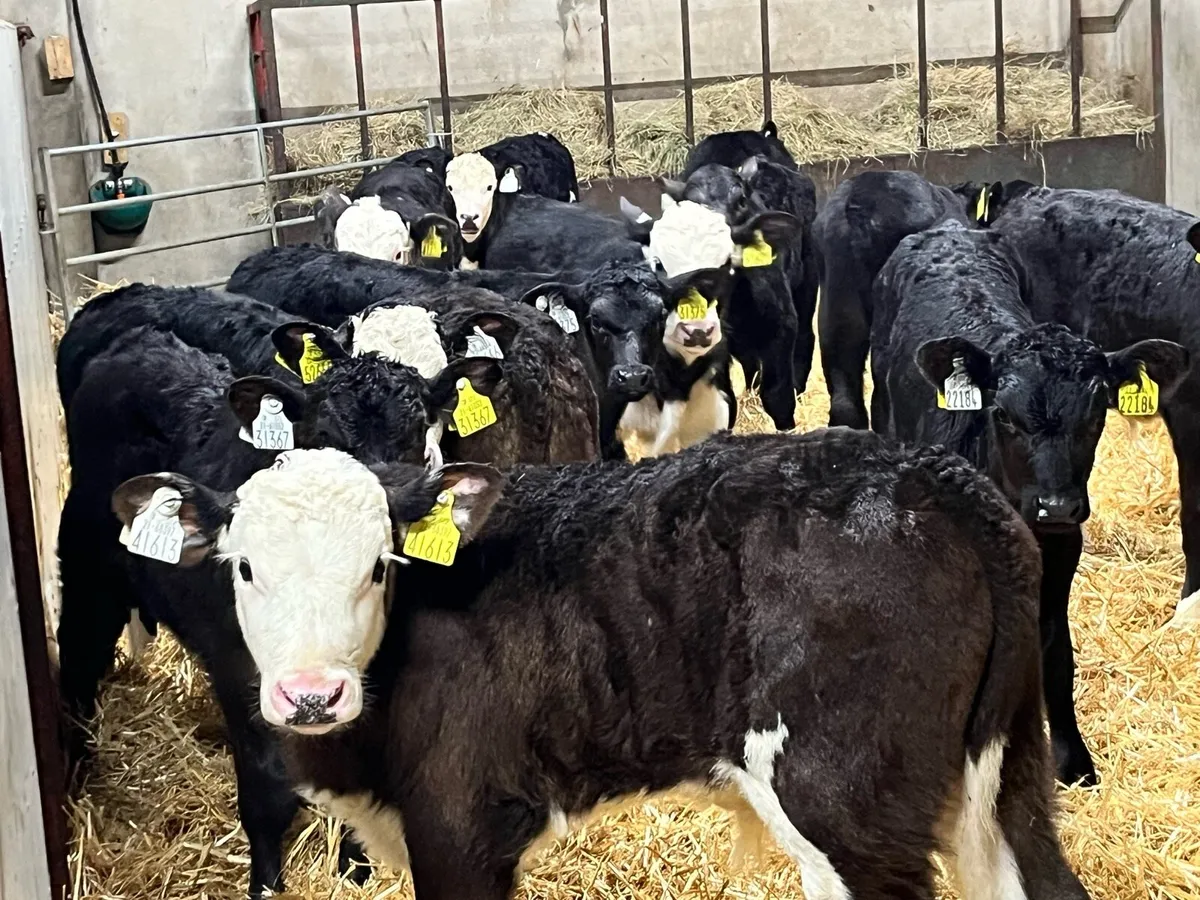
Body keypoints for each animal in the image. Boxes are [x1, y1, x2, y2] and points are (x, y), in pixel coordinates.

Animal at [114, 428, 1092, 900]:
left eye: (379, 566)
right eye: (245, 566)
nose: (311, 695)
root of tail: (936, 478)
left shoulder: (463, 821)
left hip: (846, 805)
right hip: (1005, 773)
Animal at [870, 220, 1190, 787]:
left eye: (1096, 414)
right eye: (1002, 413)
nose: (1055, 505)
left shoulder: (1061, 553)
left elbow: (1056, 653)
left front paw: (1072, 759)